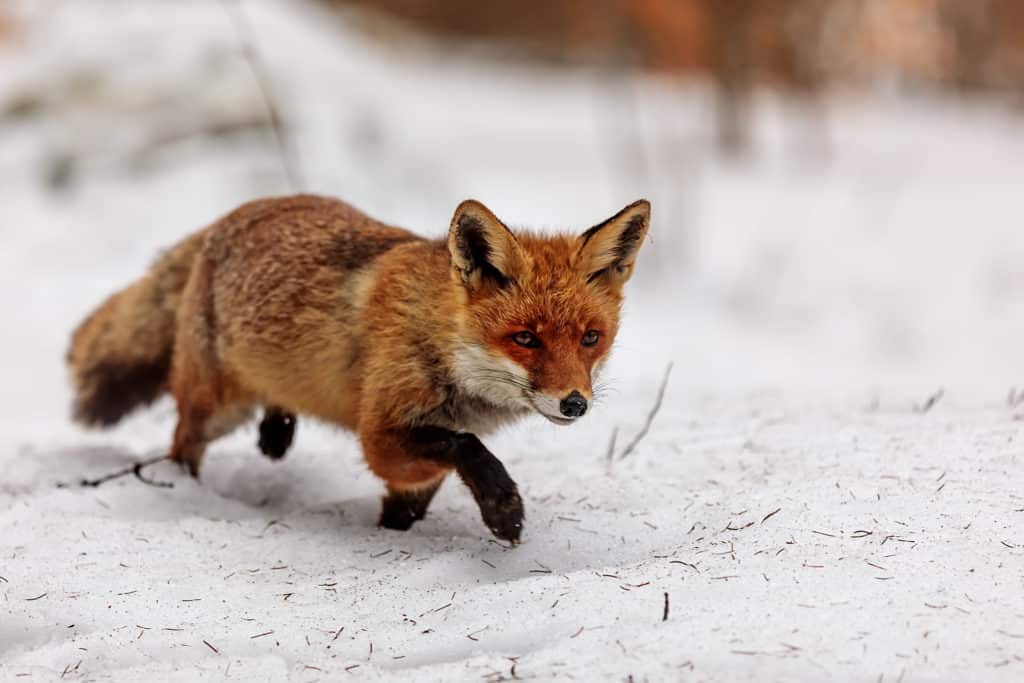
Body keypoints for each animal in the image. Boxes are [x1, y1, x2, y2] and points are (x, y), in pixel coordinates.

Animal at [68, 194, 647, 540]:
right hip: (215, 408)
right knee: (182, 444)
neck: (439, 342)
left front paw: (393, 537)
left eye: (590, 338)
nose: (574, 404)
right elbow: (465, 448)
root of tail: (230, 215)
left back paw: (277, 431)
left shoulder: (419, 444)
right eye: (525, 339)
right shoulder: (381, 435)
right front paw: (503, 507)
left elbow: (414, 501)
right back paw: (187, 490)